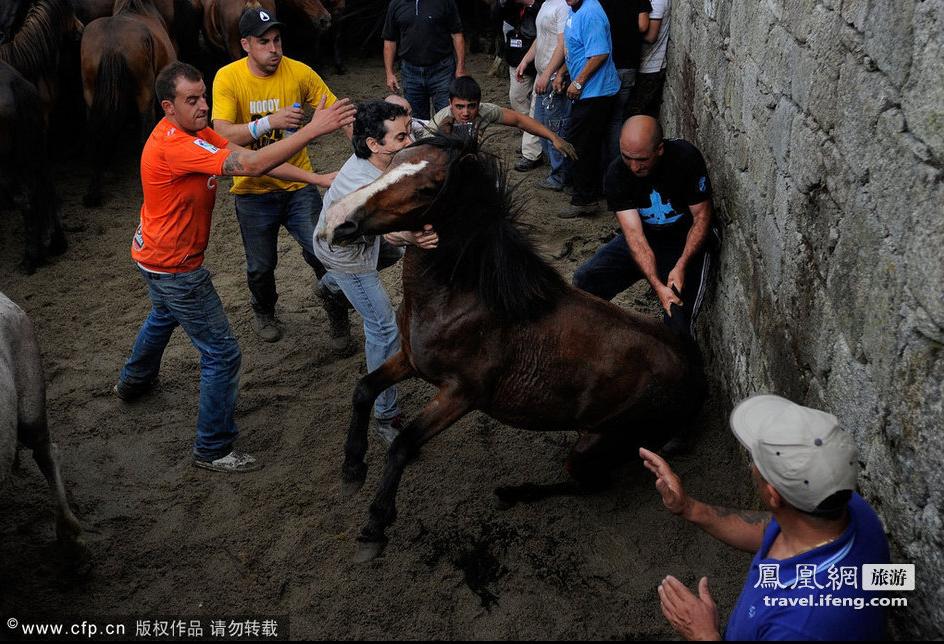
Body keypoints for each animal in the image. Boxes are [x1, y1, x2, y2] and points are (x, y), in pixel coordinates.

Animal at [80, 0, 176, 205]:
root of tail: (111, 45)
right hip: (145, 92)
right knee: (145, 130)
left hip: (90, 94)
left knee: (96, 133)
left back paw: (95, 188)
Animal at [324, 137, 700, 564]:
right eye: (394, 160)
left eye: (428, 188)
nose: (337, 220)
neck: (466, 298)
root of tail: (696, 382)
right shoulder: (409, 360)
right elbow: (363, 390)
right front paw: (352, 471)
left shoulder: (460, 394)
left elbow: (404, 444)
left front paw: (374, 528)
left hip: (598, 445)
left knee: (589, 484)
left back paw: (512, 493)